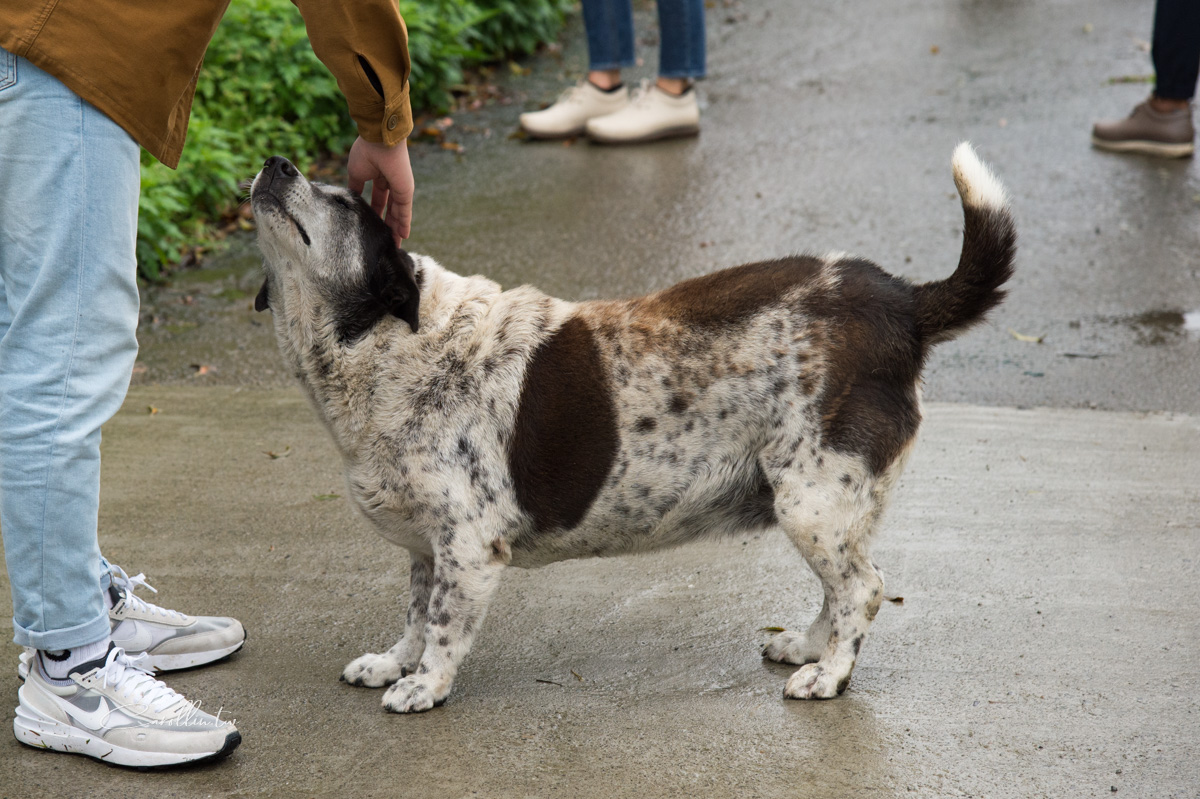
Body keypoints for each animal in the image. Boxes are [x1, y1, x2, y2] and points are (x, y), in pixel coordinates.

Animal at [250, 141, 1012, 710]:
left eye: (344, 203)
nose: (275, 162)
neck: (384, 341)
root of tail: (904, 302)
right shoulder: (424, 545)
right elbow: (413, 614)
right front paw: (392, 662)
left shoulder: (467, 544)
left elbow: (441, 625)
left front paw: (424, 686)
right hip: (819, 507)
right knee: (841, 585)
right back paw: (805, 644)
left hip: (812, 499)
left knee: (863, 587)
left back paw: (829, 675)